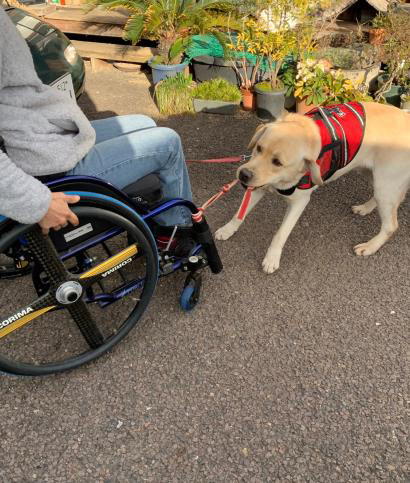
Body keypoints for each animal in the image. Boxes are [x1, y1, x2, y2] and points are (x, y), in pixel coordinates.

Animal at [215, 101, 410, 273]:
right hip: (372, 174)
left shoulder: (300, 202)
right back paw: (365, 208)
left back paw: (370, 247)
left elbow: (281, 233)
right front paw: (227, 230)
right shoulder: (258, 188)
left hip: (385, 183)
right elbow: (239, 214)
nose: (243, 174)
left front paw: (272, 259)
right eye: (258, 148)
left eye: (277, 162)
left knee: (391, 225)